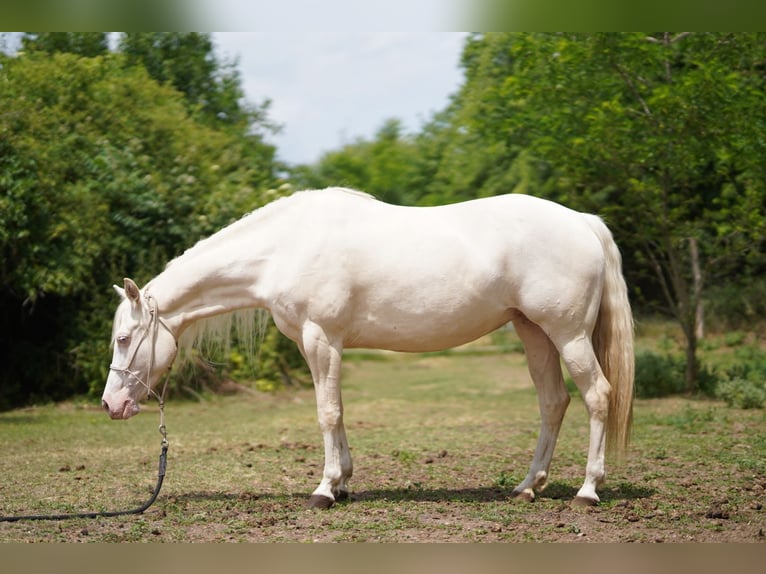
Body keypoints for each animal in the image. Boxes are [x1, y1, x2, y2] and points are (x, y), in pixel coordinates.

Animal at [102, 187, 634, 508]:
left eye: (124, 339)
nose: (111, 404)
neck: (284, 247)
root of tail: (583, 222)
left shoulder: (320, 339)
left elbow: (327, 413)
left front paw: (323, 490)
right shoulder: (320, 345)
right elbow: (335, 410)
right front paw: (342, 481)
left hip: (567, 334)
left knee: (596, 396)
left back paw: (588, 491)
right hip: (533, 332)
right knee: (553, 402)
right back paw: (527, 487)